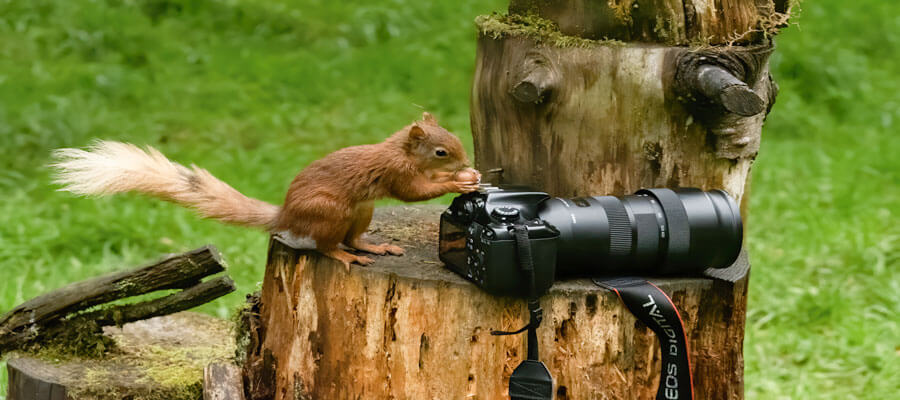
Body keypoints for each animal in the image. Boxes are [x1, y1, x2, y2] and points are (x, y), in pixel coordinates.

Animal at [52, 111, 482, 268]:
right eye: (442, 151)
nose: (465, 161)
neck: (399, 150)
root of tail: (286, 216)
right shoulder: (396, 173)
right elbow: (414, 191)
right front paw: (459, 179)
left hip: (362, 211)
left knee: (353, 238)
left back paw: (373, 247)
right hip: (332, 211)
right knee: (327, 246)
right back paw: (345, 258)